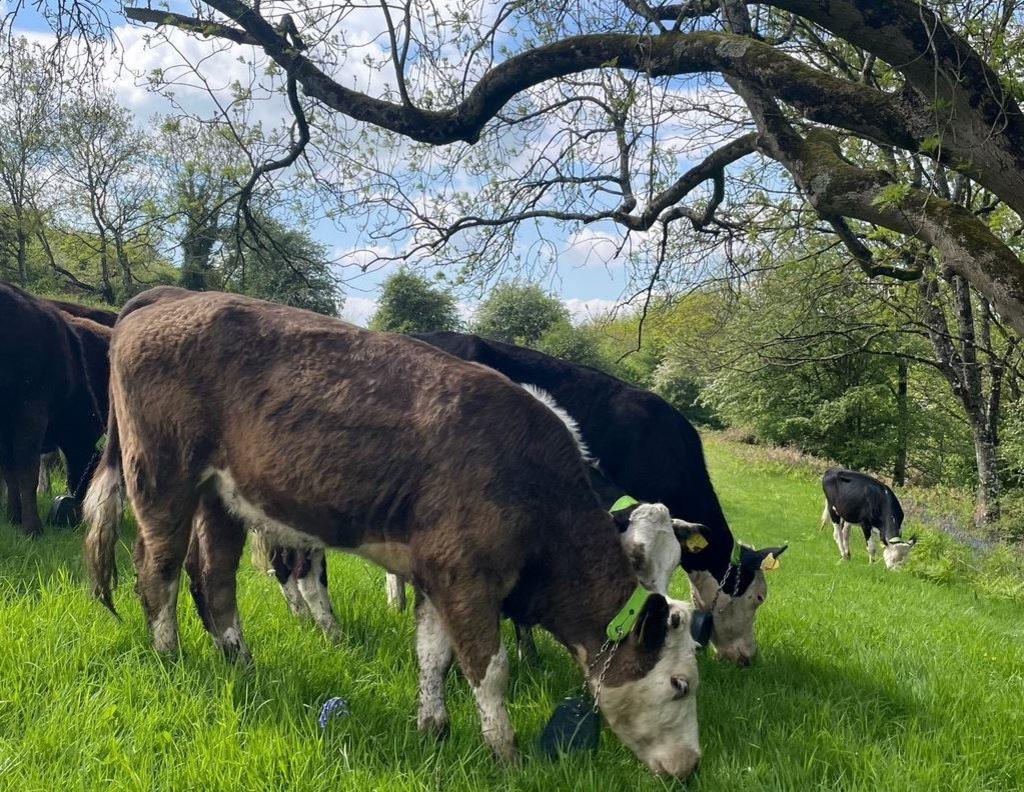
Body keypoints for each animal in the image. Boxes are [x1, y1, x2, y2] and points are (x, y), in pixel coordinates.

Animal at [0, 280, 111, 532]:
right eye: (93, 468)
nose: (82, 508)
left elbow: (11, 469)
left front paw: (13, 517)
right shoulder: (31, 410)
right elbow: (26, 468)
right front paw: (32, 527)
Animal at [83, 290, 704, 778]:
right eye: (680, 684)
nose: (693, 766)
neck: (532, 482)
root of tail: (171, 296)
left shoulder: (438, 577)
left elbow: (433, 657)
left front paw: (434, 729)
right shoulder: (468, 579)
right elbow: (490, 670)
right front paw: (506, 755)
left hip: (221, 497)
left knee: (215, 579)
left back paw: (241, 661)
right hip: (162, 479)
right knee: (158, 570)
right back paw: (171, 656)